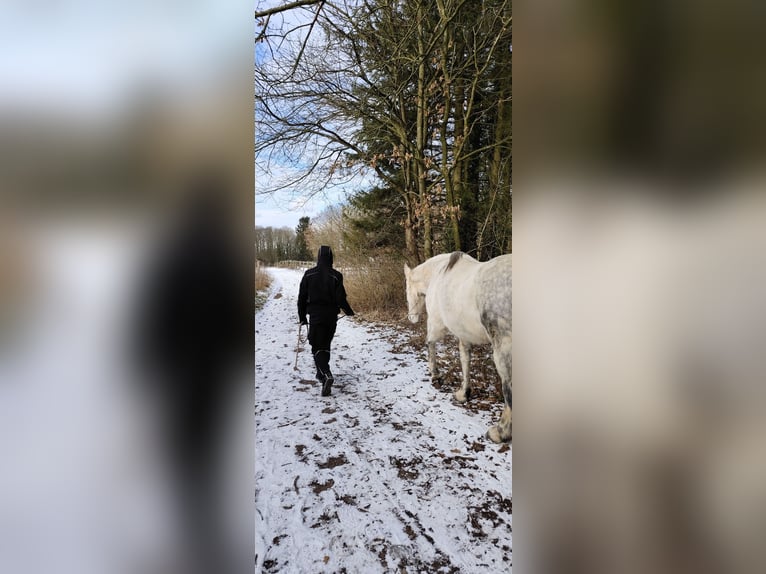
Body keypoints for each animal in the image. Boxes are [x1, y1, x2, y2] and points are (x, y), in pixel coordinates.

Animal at [404, 251, 512, 442]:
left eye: (406, 290)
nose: (412, 318)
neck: (438, 273)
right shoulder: (463, 334)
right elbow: (465, 360)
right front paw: (464, 393)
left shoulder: (436, 324)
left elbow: (430, 343)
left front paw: (435, 375)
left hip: (503, 349)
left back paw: (499, 433)